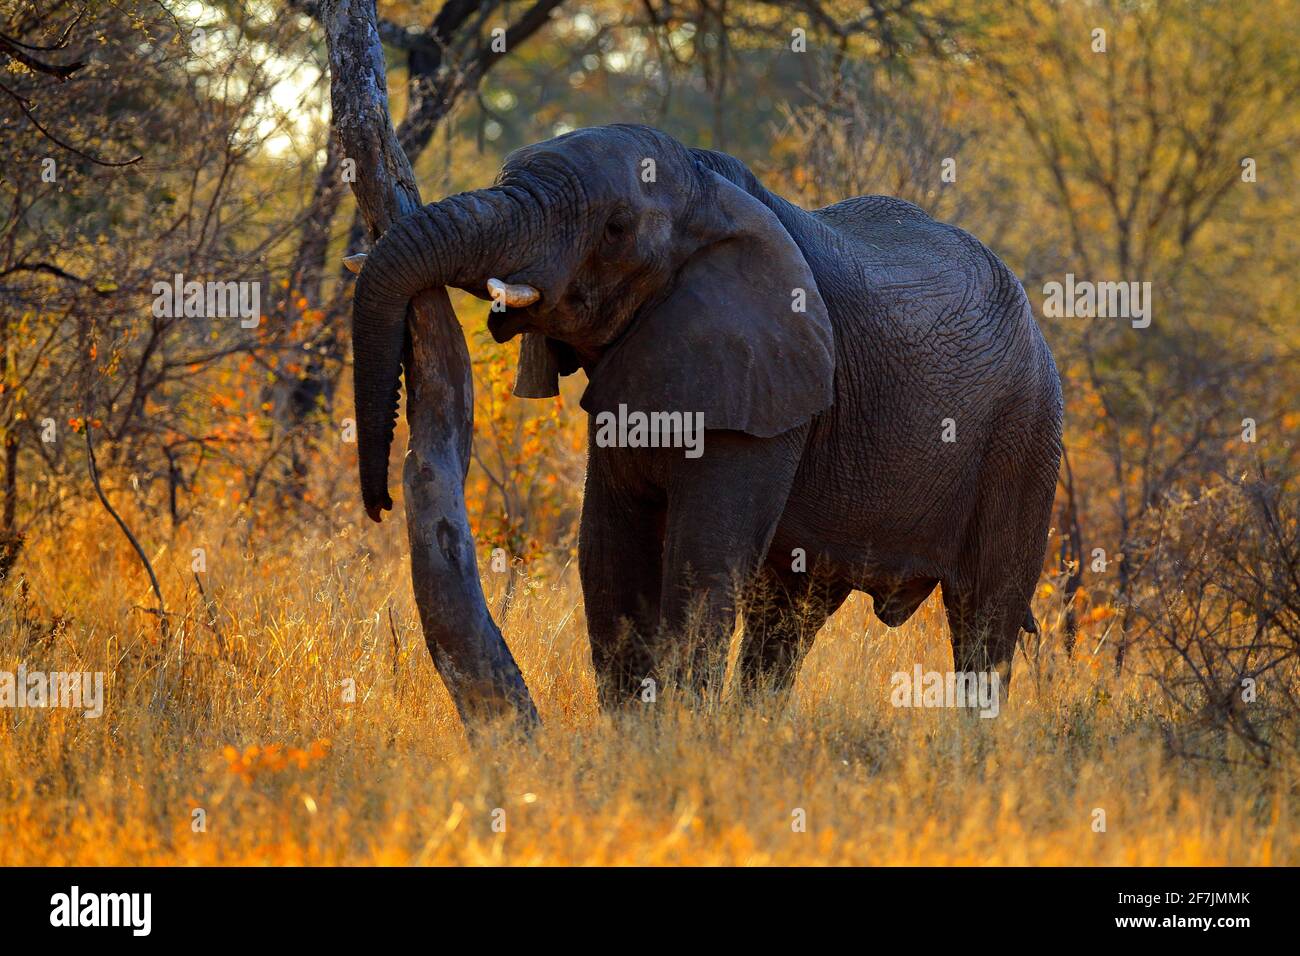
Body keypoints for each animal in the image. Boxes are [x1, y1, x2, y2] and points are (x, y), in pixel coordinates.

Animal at [350, 123, 1063, 709]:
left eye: (615, 229)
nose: (380, 504)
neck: (704, 186)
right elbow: (608, 551)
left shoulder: (763, 387)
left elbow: (700, 566)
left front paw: (679, 740)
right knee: (790, 615)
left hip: (1027, 433)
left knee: (984, 617)